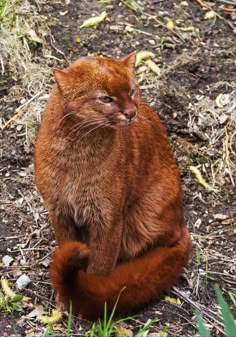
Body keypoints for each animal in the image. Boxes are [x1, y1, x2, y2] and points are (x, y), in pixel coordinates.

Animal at [34, 53, 191, 320]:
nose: (131, 112)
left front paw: (87, 296)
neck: (76, 156)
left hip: (144, 215)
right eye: (106, 98)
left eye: (132, 90)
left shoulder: (108, 217)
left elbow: (100, 267)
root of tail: (182, 226)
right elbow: (66, 244)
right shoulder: (59, 210)